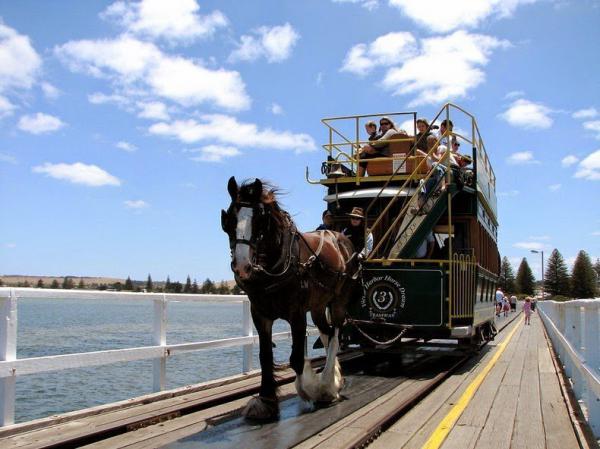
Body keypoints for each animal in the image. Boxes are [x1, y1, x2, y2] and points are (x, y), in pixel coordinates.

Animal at [223, 176, 358, 420]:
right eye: (229, 218)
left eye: (259, 220)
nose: (242, 266)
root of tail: (339, 236)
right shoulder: (260, 314)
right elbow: (265, 356)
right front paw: (266, 401)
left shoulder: (297, 313)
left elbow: (295, 358)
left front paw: (310, 389)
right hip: (318, 305)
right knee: (326, 332)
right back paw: (334, 378)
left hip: (339, 300)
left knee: (335, 334)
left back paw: (326, 385)